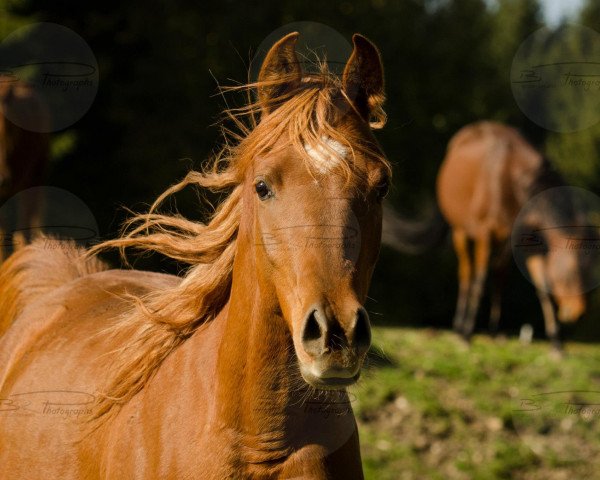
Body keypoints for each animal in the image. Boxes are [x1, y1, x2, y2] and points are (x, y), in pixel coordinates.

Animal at [436, 121, 584, 348]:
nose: (578, 311)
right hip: (461, 231)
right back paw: (459, 327)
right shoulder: (485, 233)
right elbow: (480, 281)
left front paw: (555, 340)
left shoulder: (520, 240)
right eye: (570, 271)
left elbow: (532, 285)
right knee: (467, 273)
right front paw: (468, 332)